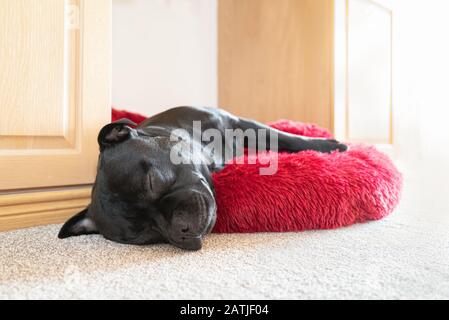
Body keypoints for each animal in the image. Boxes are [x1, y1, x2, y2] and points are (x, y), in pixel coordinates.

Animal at [58, 107, 346, 250]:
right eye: (146, 234)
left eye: (153, 181)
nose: (181, 230)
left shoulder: (238, 122)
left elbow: (281, 136)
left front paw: (329, 145)